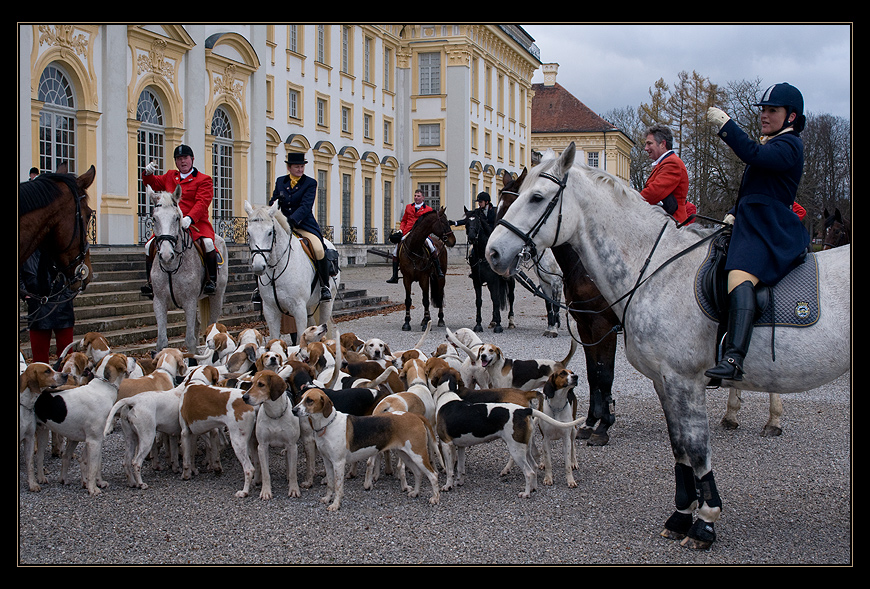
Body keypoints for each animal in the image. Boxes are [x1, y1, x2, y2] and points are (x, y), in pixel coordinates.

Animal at [152, 186, 230, 352]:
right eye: (155, 218)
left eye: (177, 218)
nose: (166, 255)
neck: (171, 268)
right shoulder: (159, 301)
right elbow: (161, 341)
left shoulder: (189, 301)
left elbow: (190, 340)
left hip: (216, 296)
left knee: (211, 327)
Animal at [245, 200, 344, 342]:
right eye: (248, 233)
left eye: (269, 232)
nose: (258, 266)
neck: (276, 271)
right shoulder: (270, 310)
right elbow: (274, 338)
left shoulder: (299, 309)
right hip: (309, 306)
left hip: (327, 303)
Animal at [498, 168, 620, 444]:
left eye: (513, 205)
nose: (493, 252)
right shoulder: (585, 326)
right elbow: (593, 374)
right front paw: (592, 420)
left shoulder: (604, 327)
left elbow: (605, 375)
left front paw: (604, 425)